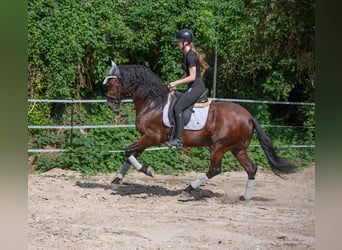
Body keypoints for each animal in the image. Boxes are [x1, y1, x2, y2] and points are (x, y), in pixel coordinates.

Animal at [103, 60, 296, 201]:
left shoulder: (152, 137)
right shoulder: (146, 138)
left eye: (113, 83)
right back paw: (245, 197)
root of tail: (248, 116)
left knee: (215, 170)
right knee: (251, 168)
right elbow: (130, 155)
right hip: (238, 148)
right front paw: (116, 180)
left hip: (218, 147)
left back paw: (187, 190)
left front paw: (148, 171)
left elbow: (128, 151)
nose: (111, 105)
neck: (153, 103)